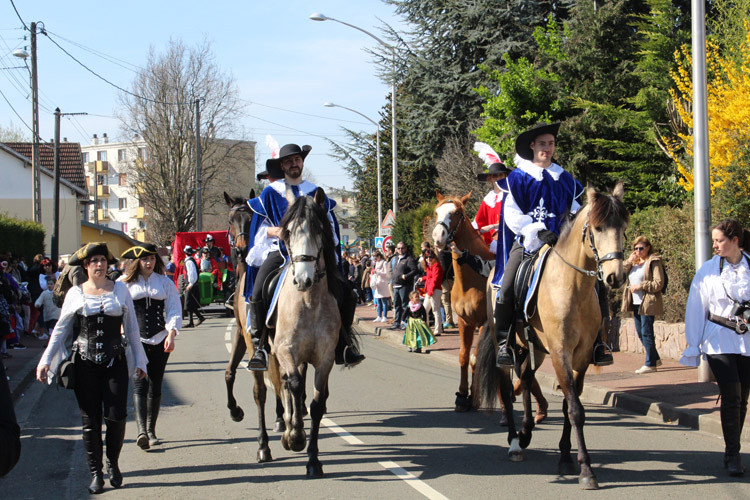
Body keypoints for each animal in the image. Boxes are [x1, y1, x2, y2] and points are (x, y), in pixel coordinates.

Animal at [432, 192, 548, 422]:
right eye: (436, 211)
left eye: (456, 213)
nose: (438, 237)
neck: (471, 279)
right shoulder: (464, 322)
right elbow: (464, 356)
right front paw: (462, 396)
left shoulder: (484, 323)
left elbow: (476, 359)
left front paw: (475, 397)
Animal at [478, 183, 632, 488]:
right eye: (597, 228)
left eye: (623, 226)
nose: (615, 277)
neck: (573, 287)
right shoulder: (561, 352)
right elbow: (575, 409)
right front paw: (586, 470)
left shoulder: (580, 357)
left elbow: (568, 407)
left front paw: (565, 456)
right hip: (512, 348)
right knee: (507, 389)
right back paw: (514, 442)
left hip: (533, 348)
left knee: (526, 379)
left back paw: (526, 432)